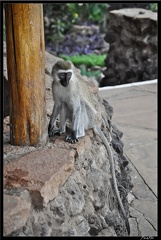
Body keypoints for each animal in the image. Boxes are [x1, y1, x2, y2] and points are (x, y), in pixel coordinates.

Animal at [48, 59, 130, 234]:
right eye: (62, 75)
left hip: (88, 119)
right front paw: (50, 128)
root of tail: (94, 123)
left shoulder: (73, 89)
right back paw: (62, 130)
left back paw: (77, 134)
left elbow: (77, 106)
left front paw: (73, 135)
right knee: (64, 104)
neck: (65, 85)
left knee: (79, 105)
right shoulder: (55, 86)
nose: (66, 81)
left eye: (69, 74)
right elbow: (57, 105)